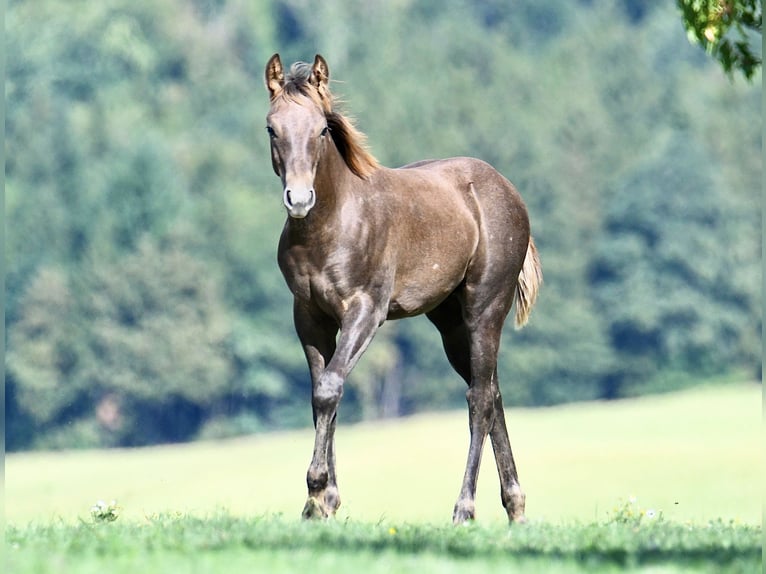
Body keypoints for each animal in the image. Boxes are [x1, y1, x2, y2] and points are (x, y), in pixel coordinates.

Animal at [264, 53, 542, 525]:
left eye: (322, 129)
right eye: (272, 128)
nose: (299, 200)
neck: (331, 226)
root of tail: (508, 190)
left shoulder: (365, 311)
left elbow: (330, 387)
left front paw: (316, 491)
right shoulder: (309, 317)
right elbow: (322, 392)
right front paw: (322, 503)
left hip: (485, 309)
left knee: (479, 398)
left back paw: (464, 509)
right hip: (449, 323)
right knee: (493, 392)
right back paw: (515, 508)